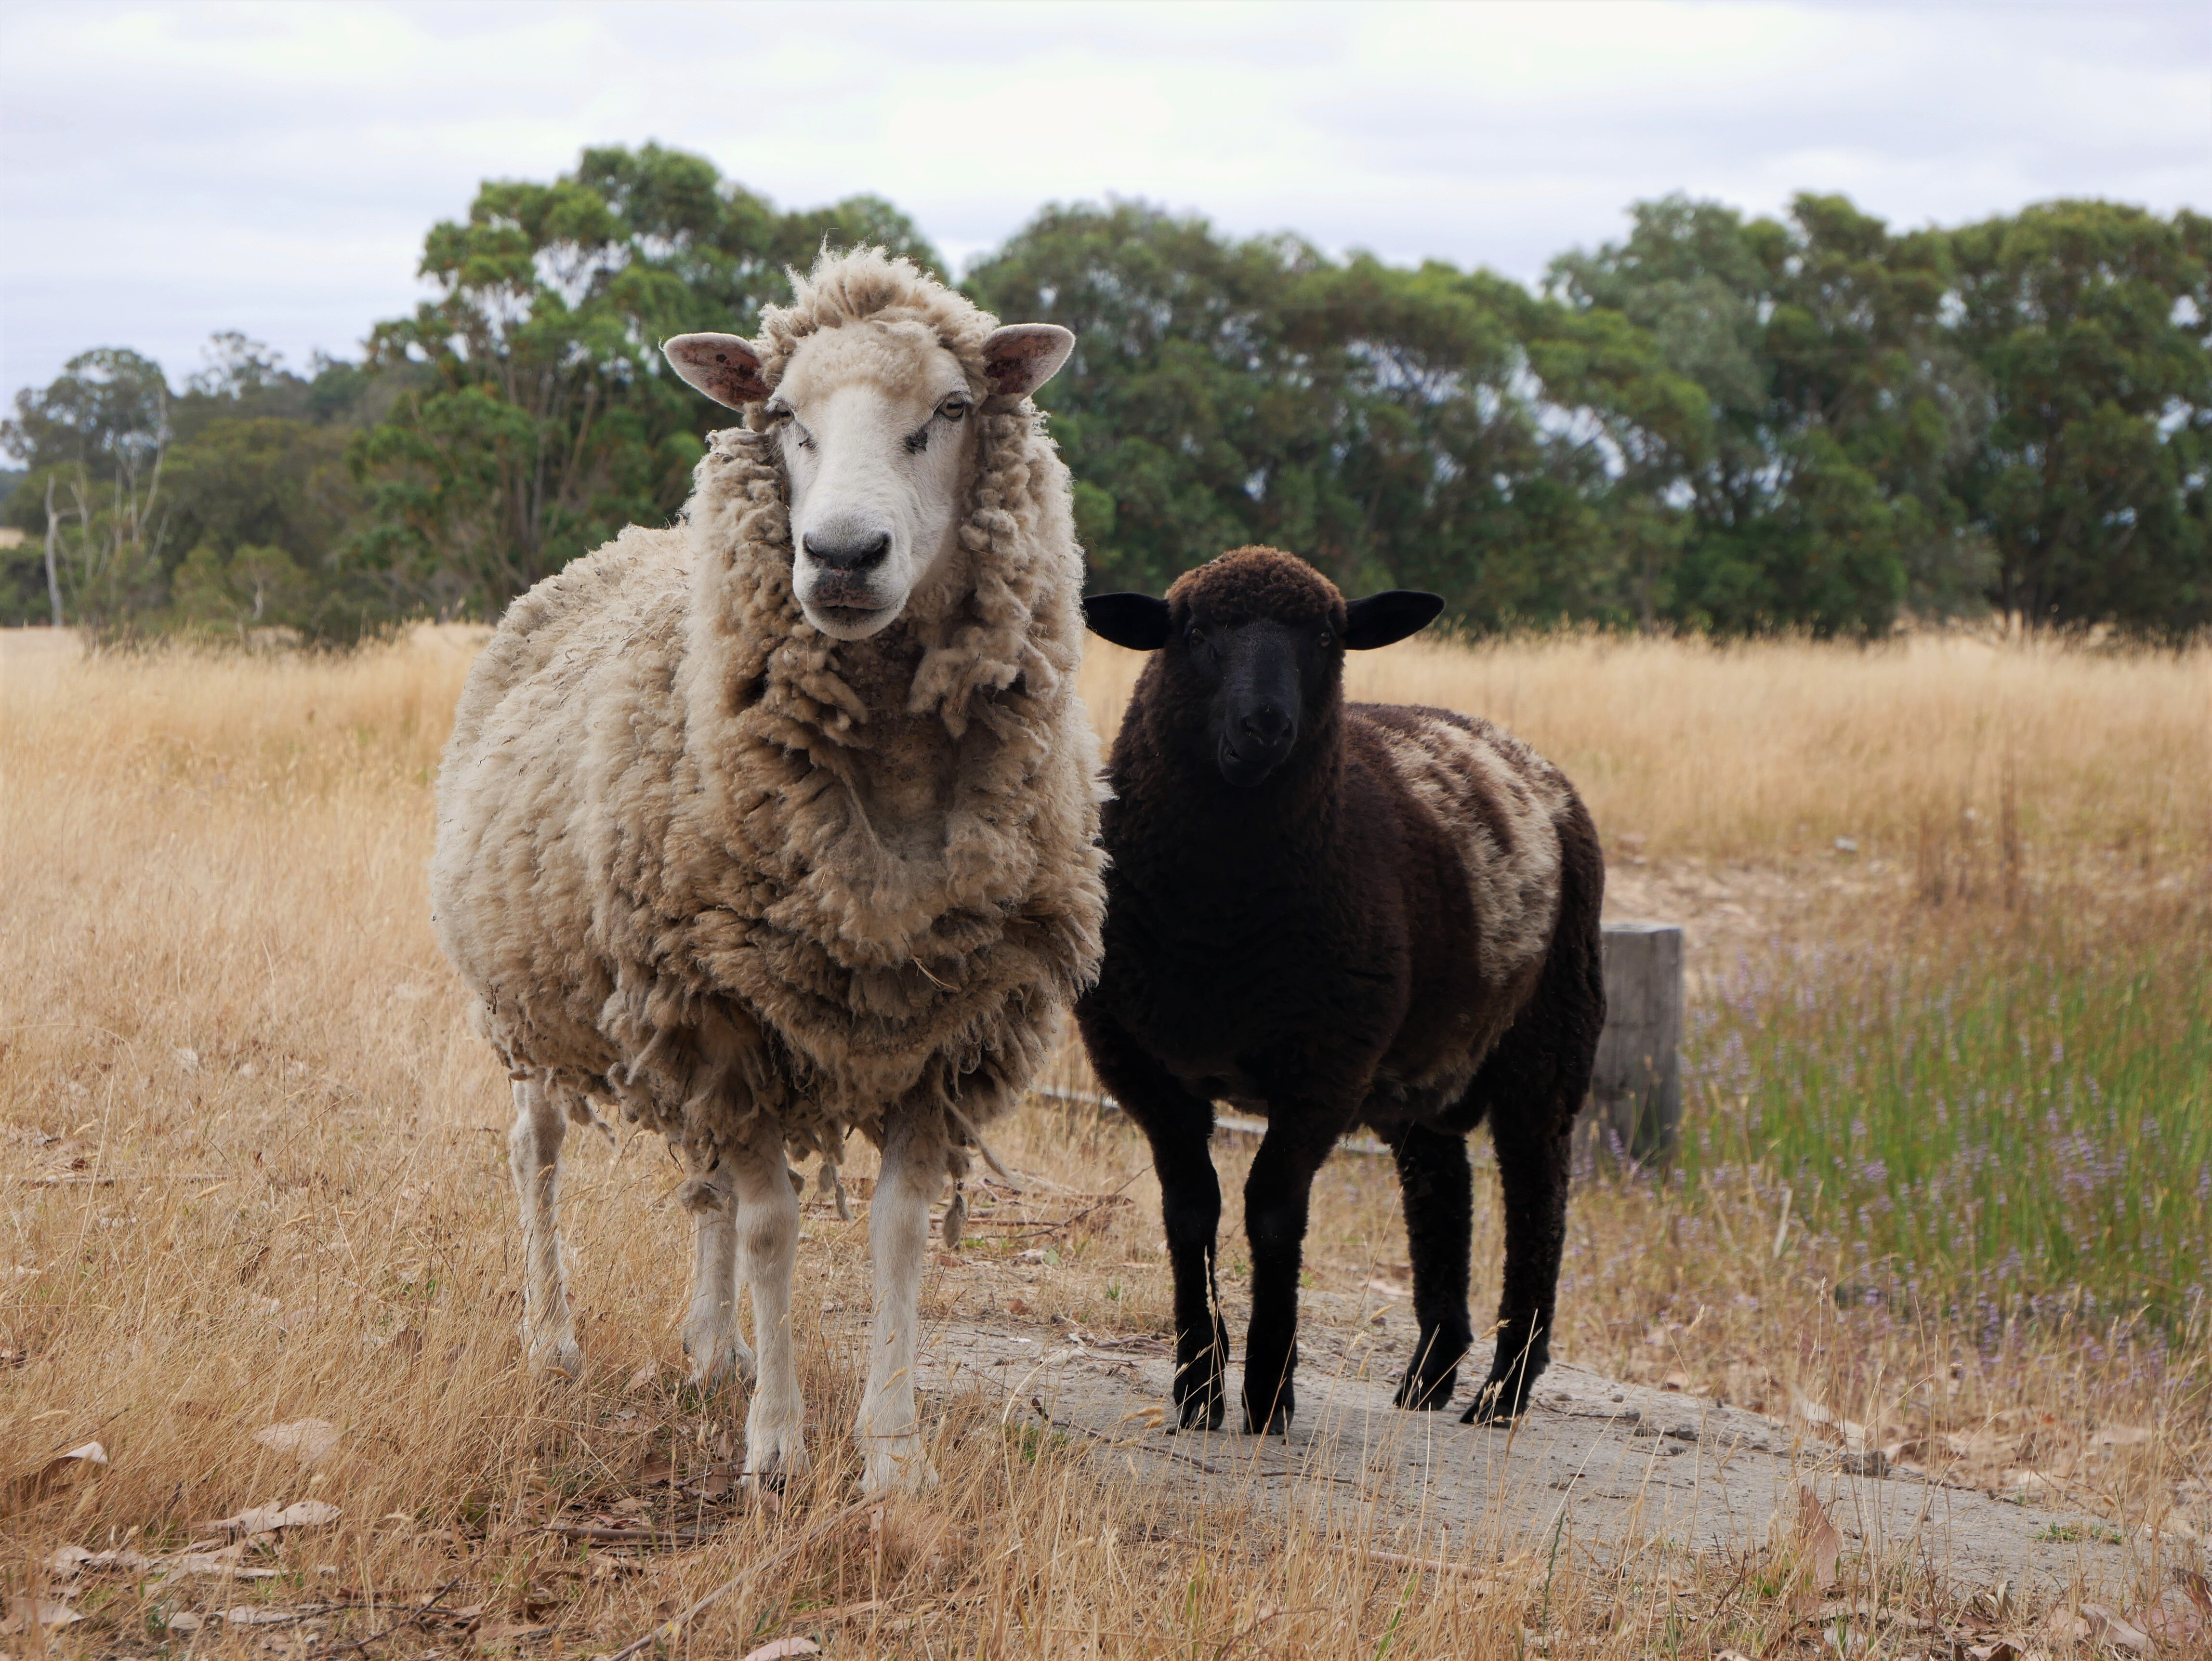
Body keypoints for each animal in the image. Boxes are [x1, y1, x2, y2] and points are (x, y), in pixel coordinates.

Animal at [430, 248, 1107, 1495]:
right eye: (785, 415)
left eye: (952, 408)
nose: (839, 555)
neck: (885, 815)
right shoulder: (722, 1007)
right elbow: (773, 1227)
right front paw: (779, 1449)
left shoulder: (941, 1028)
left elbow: (891, 1231)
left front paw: (890, 1456)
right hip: (542, 995)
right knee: (536, 1150)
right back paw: (553, 1337)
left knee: (699, 1180)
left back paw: (715, 1345)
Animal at [1077, 546, 1606, 1434]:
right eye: (1194, 633)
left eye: (1326, 638)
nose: (1264, 725)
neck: (1217, 927)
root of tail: (1527, 758)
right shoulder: (1139, 1060)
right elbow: (1189, 1207)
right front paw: (1197, 1390)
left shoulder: (1325, 1066)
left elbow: (1273, 1212)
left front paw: (1267, 1395)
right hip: (1420, 1060)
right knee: (1441, 1189)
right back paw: (1427, 1378)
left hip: (1551, 1033)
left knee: (1539, 1200)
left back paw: (1501, 1394)